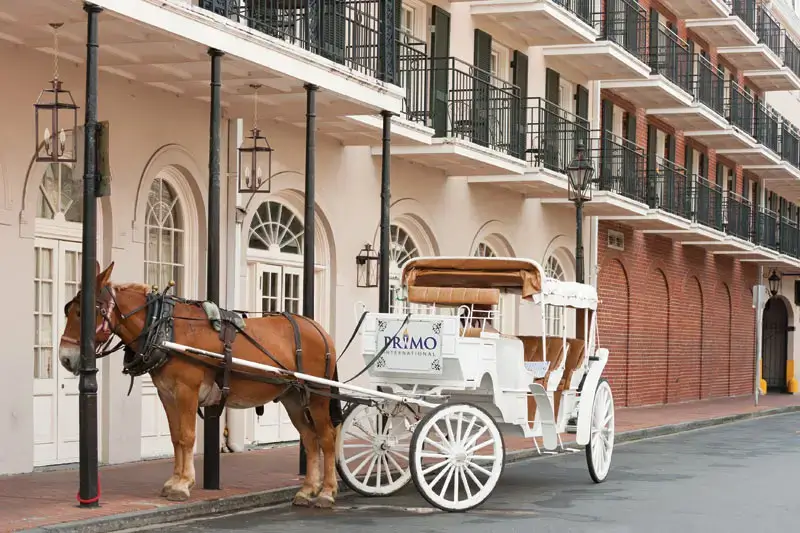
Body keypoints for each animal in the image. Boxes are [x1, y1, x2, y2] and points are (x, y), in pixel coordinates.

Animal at [58, 261, 344, 507]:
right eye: (68, 310)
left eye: (83, 312)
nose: (65, 358)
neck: (165, 328)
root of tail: (319, 329)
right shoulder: (167, 393)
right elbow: (175, 437)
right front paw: (174, 480)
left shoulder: (187, 390)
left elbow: (187, 436)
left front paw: (183, 484)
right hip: (293, 397)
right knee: (310, 438)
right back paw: (308, 489)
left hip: (318, 396)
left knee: (327, 438)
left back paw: (327, 491)